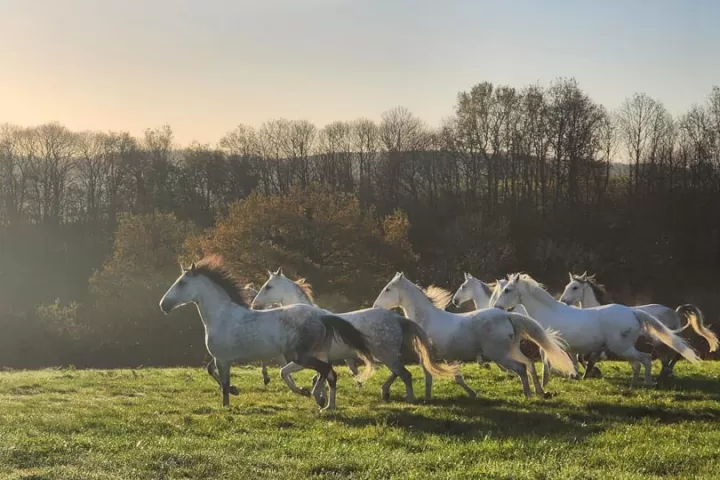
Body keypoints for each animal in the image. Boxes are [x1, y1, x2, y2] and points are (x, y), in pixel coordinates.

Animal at [158, 255, 376, 410]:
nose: (163, 305)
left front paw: (227, 405)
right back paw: (326, 403)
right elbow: (214, 374)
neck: (222, 316)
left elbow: (224, 387)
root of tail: (322, 316)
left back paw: (316, 397)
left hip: (301, 356)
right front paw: (235, 391)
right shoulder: (223, 358)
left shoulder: (222, 359)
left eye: (182, 283)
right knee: (330, 374)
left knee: (326, 371)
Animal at [251, 268, 457, 402]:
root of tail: (397, 318)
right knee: (403, 372)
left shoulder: (309, 359)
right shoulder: (320, 359)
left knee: (406, 373)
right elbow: (317, 377)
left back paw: (409, 399)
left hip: (386, 355)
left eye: (268, 286)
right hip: (390, 355)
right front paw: (319, 396)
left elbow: (288, 372)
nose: (255, 305)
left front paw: (309, 393)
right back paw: (388, 392)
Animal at [372, 272, 577, 399]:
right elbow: (454, 376)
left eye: (388, 289)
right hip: (511, 350)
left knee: (521, 368)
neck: (425, 320)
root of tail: (506, 315)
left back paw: (528, 394)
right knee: (530, 365)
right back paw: (540, 392)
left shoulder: (424, 355)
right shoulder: (441, 356)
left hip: (499, 355)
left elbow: (417, 373)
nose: (375, 306)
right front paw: (471, 393)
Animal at [491, 273, 700, 387]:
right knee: (639, 363)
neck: (548, 312)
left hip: (622, 348)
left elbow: (550, 363)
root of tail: (633, 312)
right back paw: (635, 384)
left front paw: (546, 385)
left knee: (647, 359)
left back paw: (650, 382)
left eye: (508, 290)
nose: (498, 307)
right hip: (625, 349)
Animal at [559, 272, 718, 378]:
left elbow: (586, 358)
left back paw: (665, 374)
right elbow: (583, 357)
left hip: (661, 341)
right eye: (567, 285)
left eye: (575, 287)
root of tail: (675, 312)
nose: (563, 301)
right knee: (671, 356)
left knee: (675, 354)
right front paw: (591, 372)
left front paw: (591, 372)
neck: (597, 311)